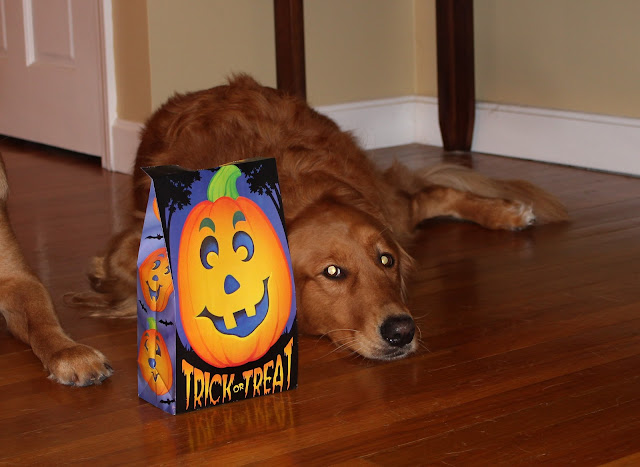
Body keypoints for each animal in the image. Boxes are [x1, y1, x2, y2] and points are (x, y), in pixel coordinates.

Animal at [72, 74, 567, 361]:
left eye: (386, 261)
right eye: (332, 272)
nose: (402, 330)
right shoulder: (126, 246)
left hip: (389, 206)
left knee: (427, 193)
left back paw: (508, 212)